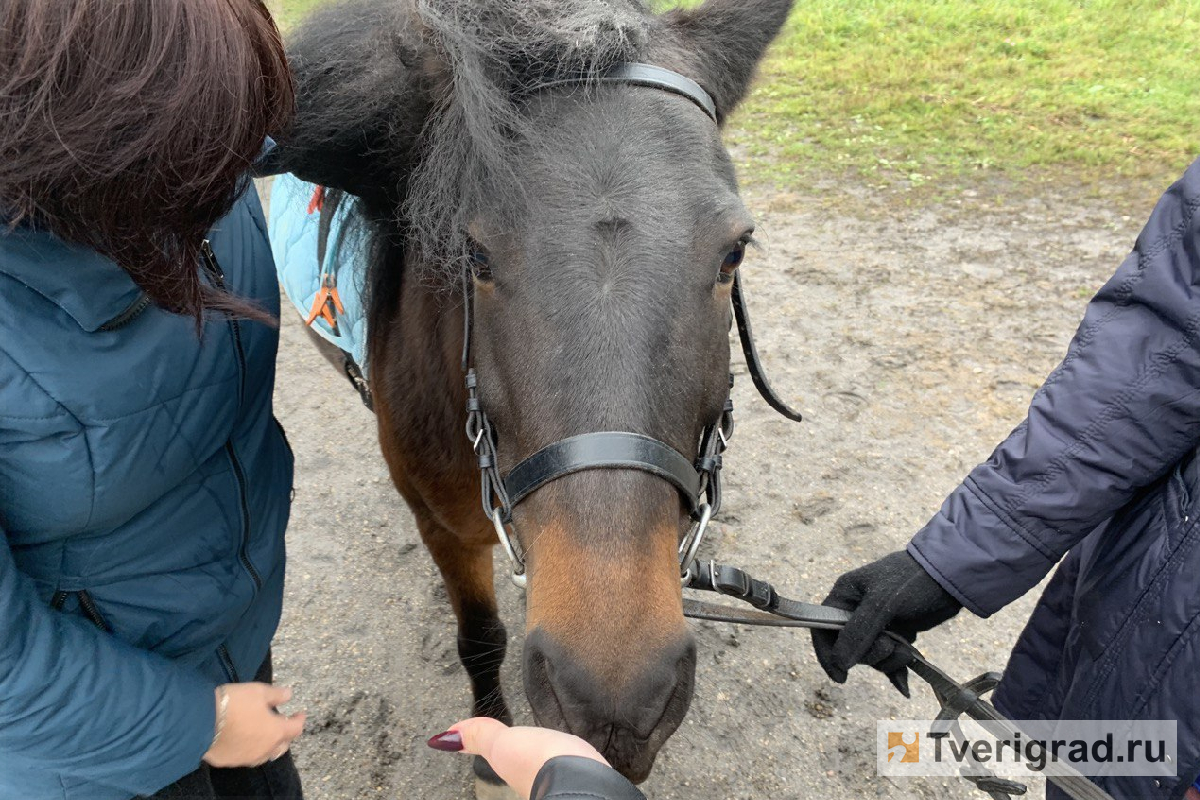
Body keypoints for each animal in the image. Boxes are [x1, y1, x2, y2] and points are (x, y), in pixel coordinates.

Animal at [267, 0, 801, 786]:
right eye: (474, 256)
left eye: (734, 250)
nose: (617, 703)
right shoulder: (445, 527)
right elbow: (482, 637)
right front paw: (491, 755)